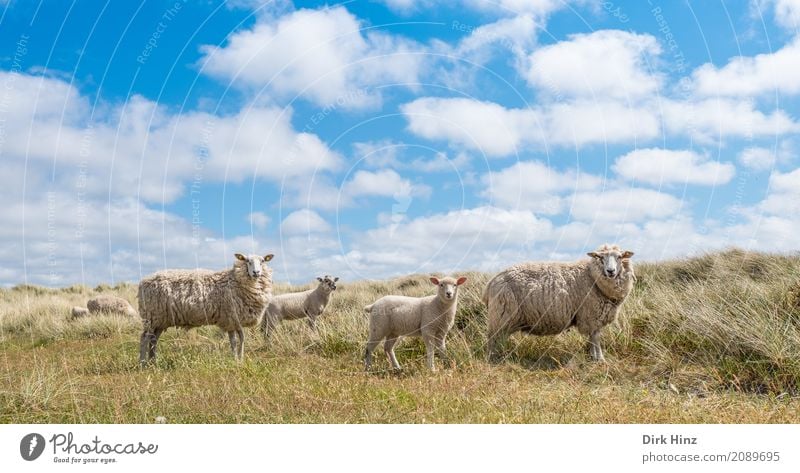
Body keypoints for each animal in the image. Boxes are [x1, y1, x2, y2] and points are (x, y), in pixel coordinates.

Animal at [138, 253, 276, 364]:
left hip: (160, 320)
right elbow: (236, 340)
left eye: (263, 261)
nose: (256, 272)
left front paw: (238, 359)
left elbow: (238, 339)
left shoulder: (233, 320)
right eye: (247, 261)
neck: (236, 280)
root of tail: (143, 281)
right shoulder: (232, 317)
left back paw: (153, 361)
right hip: (152, 316)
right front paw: (237, 360)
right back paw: (143, 363)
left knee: (153, 339)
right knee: (144, 338)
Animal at [482, 243, 636, 362]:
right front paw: (600, 359)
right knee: (493, 339)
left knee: (499, 339)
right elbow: (596, 338)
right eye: (601, 258)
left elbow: (593, 339)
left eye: (620, 257)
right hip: (501, 315)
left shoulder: (593, 317)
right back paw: (493, 358)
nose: (610, 271)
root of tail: (492, 282)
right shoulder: (591, 315)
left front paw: (594, 357)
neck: (593, 277)